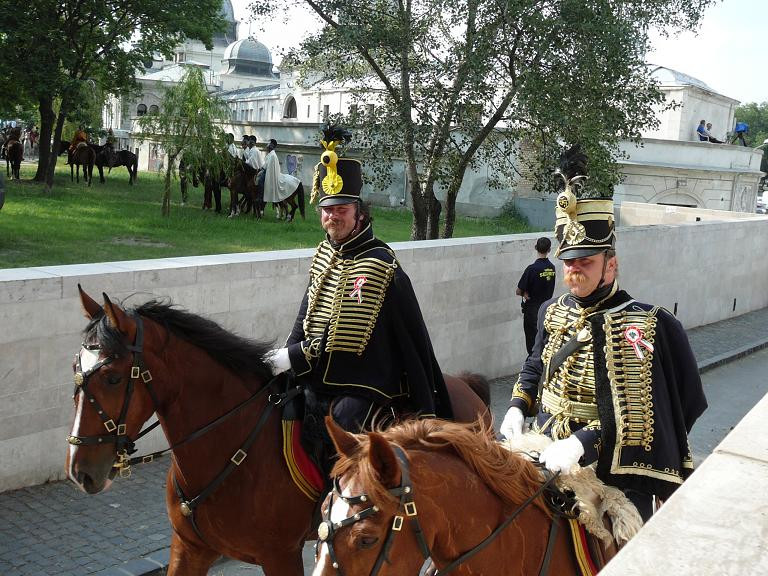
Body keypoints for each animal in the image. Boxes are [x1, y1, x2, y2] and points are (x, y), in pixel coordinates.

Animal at [64, 292, 492, 576]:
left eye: (113, 377)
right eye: (75, 369)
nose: (80, 471)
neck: (230, 449)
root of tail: (466, 384)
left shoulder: (281, 557)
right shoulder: (189, 550)